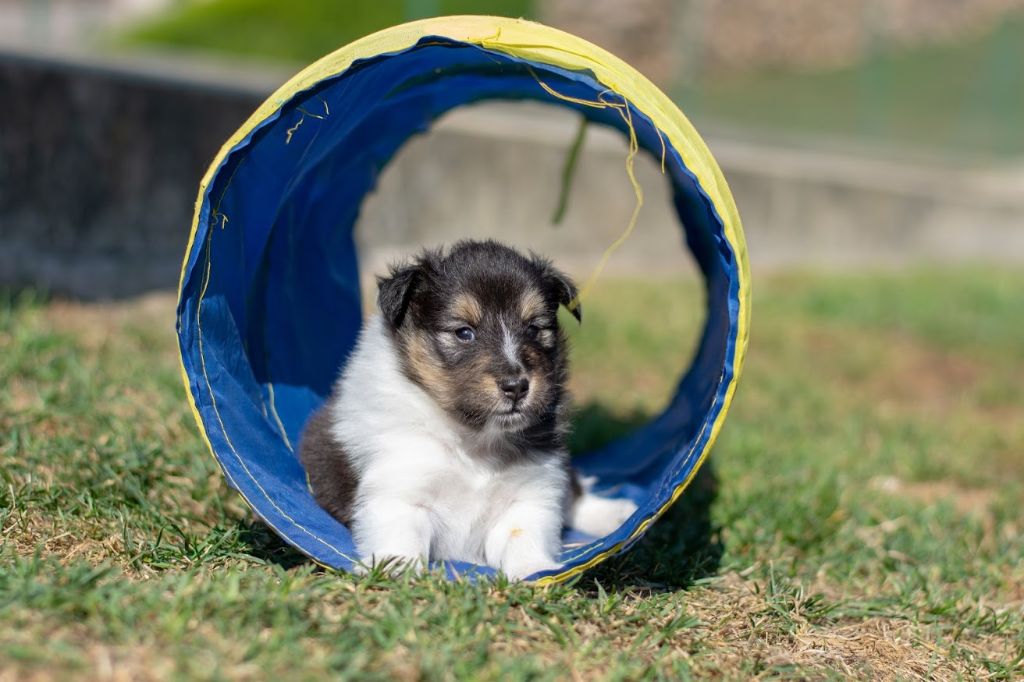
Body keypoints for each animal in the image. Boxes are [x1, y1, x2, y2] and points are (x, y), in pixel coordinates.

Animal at [296, 236, 634, 577]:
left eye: (533, 329)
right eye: (463, 333)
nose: (516, 386)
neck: (474, 437)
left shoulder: (531, 493)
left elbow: (524, 535)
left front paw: (535, 570)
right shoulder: (398, 492)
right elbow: (402, 538)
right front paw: (397, 571)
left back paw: (618, 513)